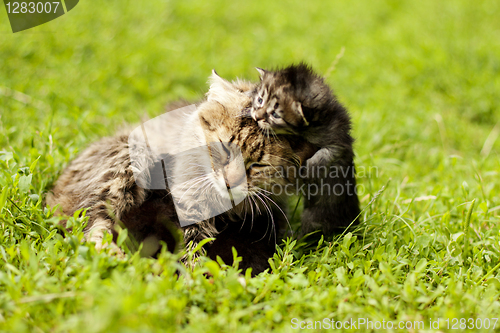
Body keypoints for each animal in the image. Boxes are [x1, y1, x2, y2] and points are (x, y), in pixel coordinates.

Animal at [46, 69, 312, 272]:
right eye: (225, 149)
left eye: (258, 165)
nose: (231, 182)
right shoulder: (189, 209)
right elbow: (192, 254)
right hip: (130, 156)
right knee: (92, 225)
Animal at [247, 61, 360, 233]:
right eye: (260, 100)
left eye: (276, 115)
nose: (257, 117)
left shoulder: (340, 140)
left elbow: (328, 152)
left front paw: (311, 169)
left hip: (316, 216)